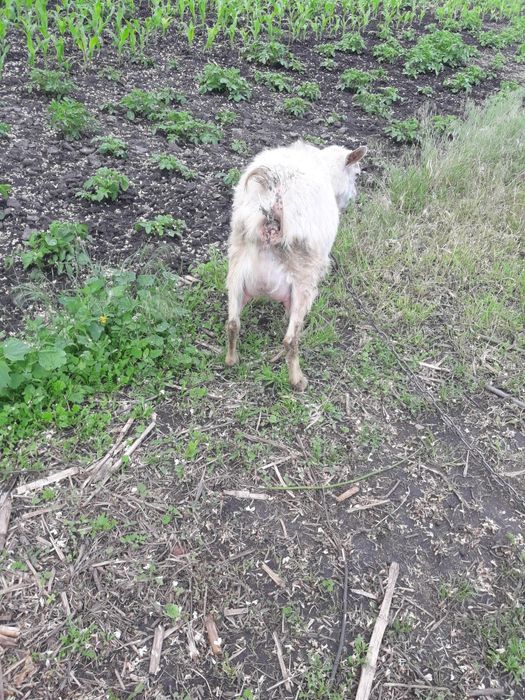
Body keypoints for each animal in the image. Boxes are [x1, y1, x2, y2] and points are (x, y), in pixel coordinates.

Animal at [225, 140, 367, 390]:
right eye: (357, 173)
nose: (354, 197)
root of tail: (273, 210)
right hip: (304, 278)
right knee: (291, 339)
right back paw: (298, 381)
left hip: (236, 268)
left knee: (233, 324)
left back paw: (232, 360)